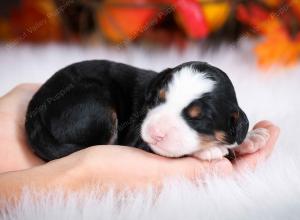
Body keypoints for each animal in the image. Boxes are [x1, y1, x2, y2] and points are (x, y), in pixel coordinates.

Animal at [26, 60, 262, 162]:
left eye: (199, 119)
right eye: (158, 99)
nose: (156, 132)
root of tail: (34, 113)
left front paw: (251, 137)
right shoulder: (137, 140)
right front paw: (210, 151)